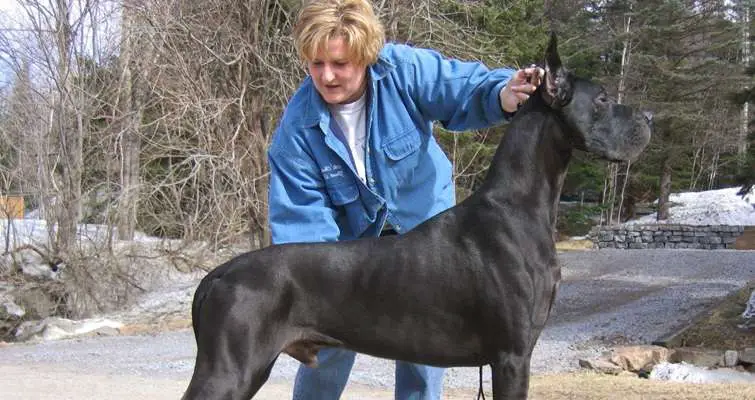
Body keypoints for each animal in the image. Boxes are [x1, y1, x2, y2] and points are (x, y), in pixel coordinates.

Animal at [182, 32, 648, 398]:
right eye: (602, 98)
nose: (648, 115)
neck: (522, 207)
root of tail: (217, 274)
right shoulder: (512, 357)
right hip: (229, 370)